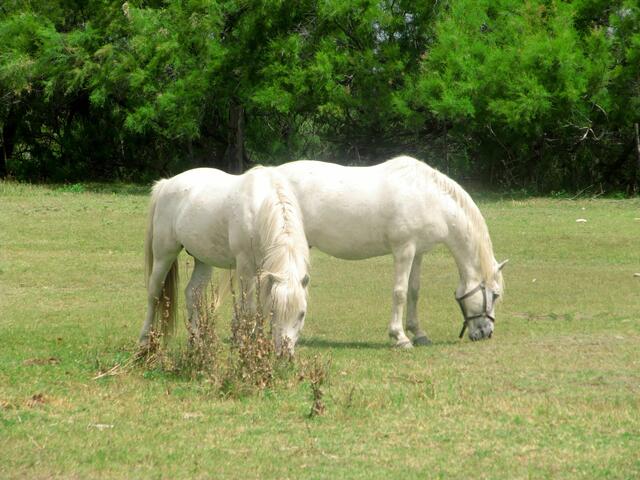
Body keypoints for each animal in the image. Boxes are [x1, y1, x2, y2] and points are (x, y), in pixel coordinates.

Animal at [138, 166, 310, 354]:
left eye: (301, 314)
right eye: (274, 311)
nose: (285, 354)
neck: (260, 208)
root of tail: (166, 183)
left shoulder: (263, 273)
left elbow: (258, 308)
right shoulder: (245, 268)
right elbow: (249, 308)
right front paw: (246, 346)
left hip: (202, 260)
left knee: (192, 294)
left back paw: (196, 343)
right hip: (164, 255)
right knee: (154, 294)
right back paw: (144, 342)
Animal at [277, 156, 507, 348]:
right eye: (495, 295)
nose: (487, 333)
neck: (429, 198)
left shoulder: (418, 253)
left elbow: (414, 291)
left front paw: (419, 333)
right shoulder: (404, 250)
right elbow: (400, 293)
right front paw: (400, 337)